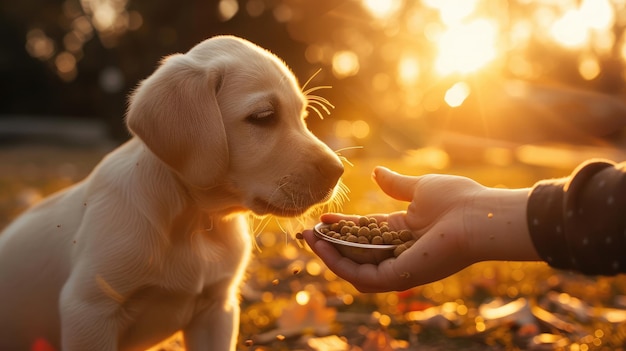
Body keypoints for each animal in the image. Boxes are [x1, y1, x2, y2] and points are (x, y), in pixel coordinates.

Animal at [0, 34, 342, 350]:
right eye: (263, 116)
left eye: (303, 116)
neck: (194, 221)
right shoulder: (88, 310)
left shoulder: (217, 310)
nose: (338, 170)